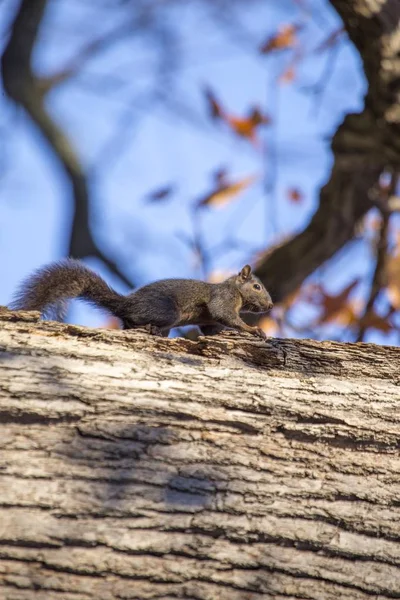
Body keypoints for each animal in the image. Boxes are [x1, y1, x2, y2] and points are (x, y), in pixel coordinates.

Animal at [9, 260, 274, 340]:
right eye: (257, 286)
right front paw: (253, 329)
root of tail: (126, 303)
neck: (236, 290)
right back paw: (150, 328)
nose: (271, 305)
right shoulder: (223, 298)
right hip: (166, 311)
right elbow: (223, 314)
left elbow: (212, 328)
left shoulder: (209, 321)